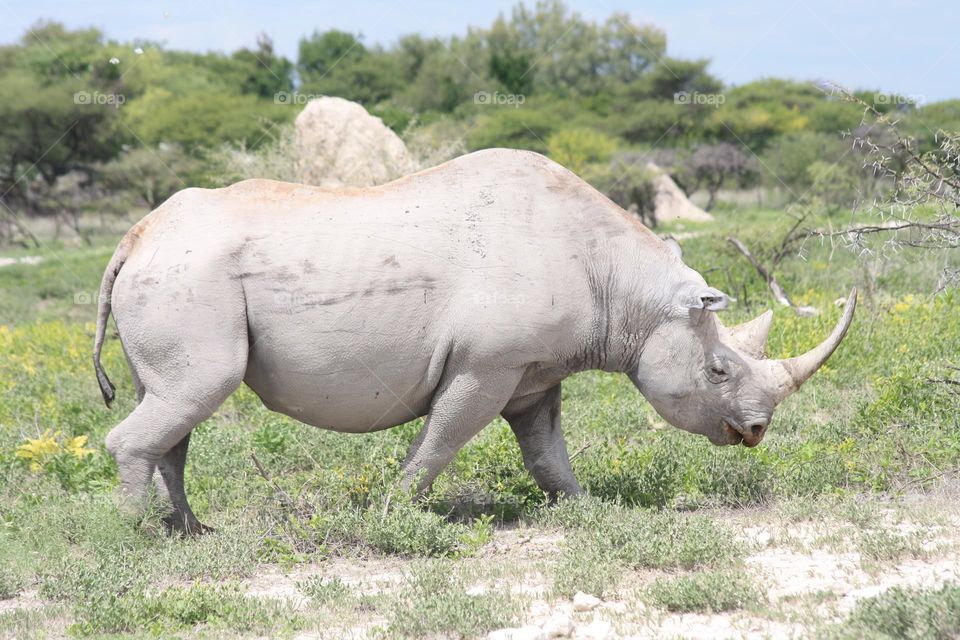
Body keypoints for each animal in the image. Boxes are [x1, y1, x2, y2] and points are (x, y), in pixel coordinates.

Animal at [92, 149, 856, 533]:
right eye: (720, 369)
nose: (756, 431)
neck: (631, 288)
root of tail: (133, 238)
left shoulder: (535, 370)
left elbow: (547, 453)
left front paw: (588, 511)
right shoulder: (487, 363)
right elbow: (443, 438)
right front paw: (396, 514)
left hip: (179, 276)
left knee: (177, 403)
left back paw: (191, 532)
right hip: (189, 277)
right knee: (197, 391)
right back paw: (138, 539)